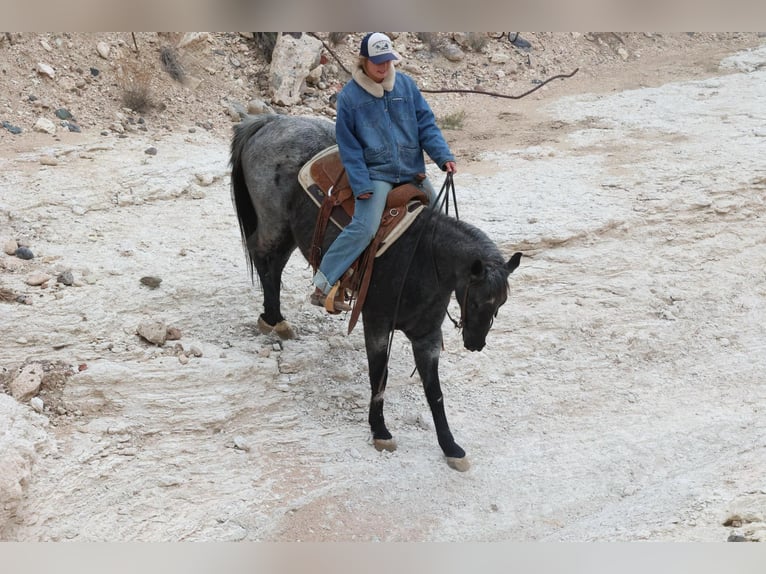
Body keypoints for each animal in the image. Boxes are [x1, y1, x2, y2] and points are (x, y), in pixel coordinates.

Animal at [230, 113, 522, 471]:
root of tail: (269, 121)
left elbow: (434, 392)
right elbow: (378, 377)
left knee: (275, 265)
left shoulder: (427, 337)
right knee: (262, 256)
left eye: (500, 304)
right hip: (274, 224)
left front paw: (451, 447)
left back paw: (277, 319)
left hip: (289, 231)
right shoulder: (377, 325)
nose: (475, 344)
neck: (420, 258)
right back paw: (272, 318)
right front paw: (380, 431)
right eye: (478, 299)